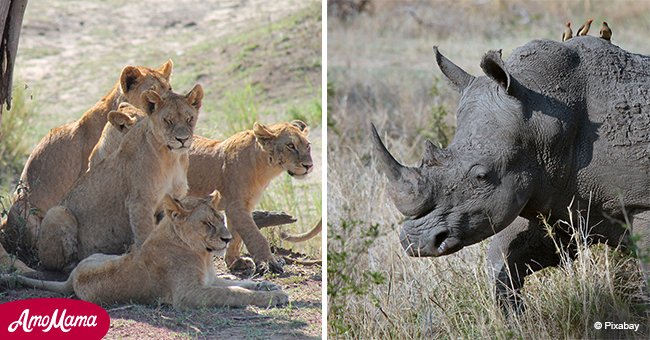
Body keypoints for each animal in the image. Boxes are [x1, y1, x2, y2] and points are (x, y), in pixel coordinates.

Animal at [0, 193, 288, 310]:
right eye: (207, 223)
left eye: (222, 219)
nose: (227, 239)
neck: (202, 254)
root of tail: (72, 278)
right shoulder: (188, 295)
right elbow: (234, 293)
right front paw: (272, 298)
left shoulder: (207, 280)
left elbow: (237, 284)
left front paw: (268, 287)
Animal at [35, 85, 202, 270]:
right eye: (168, 121)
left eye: (189, 119)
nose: (183, 139)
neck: (172, 159)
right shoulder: (139, 203)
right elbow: (145, 236)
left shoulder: (170, 201)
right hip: (57, 212)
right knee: (55, 263)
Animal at [186, 120, 312, 274]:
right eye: (290, 146)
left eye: (307, 146)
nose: (309, 166)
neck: (265, 168)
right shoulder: (236, 206)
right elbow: (255, 236)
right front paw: (269, 263)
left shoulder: (242, 205)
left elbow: (235, 236)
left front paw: (235, 262)